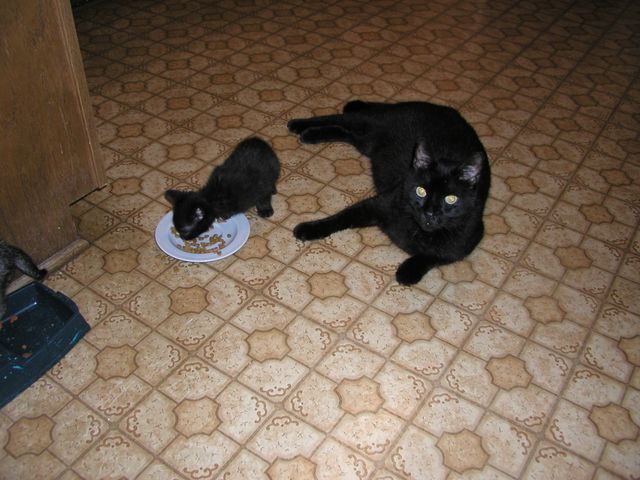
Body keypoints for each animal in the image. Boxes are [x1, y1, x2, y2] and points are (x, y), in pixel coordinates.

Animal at [288, 99, 492, 284]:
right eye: (421, 191)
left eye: (451, 199)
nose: (430, 213)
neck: (419, 229)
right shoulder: (377, 205)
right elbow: (341, 217)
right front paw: (310, 228)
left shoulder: (468, 239)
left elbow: (433, 256)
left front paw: (408, 271)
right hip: (370, 122)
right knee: (340, 118)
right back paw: (300, 125)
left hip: (369, 143)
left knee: (347, 134)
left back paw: (311, 134)